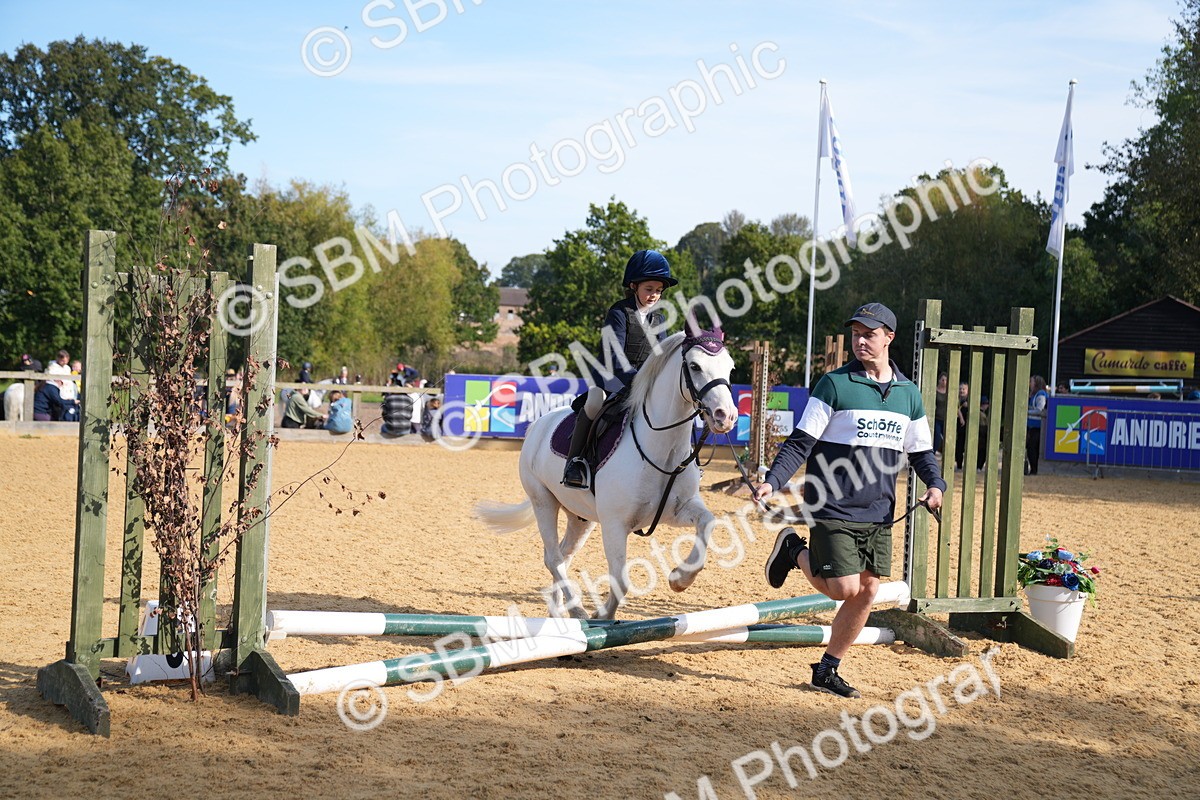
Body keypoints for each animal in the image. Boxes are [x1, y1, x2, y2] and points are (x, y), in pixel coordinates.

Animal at [476, 325, 738, 619]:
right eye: (694, 366)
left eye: (730, 368)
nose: (725, 416)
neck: (663, 451)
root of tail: (537, 425)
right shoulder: (615, 524)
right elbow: (621, 580)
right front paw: (604, 617)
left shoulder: (676, 510)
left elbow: (708, 522)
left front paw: (680, 579)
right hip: (543, 501)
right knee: (553, 558)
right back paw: (578, 610)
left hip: (580, 517)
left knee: (563, 555)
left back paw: (558, 613)